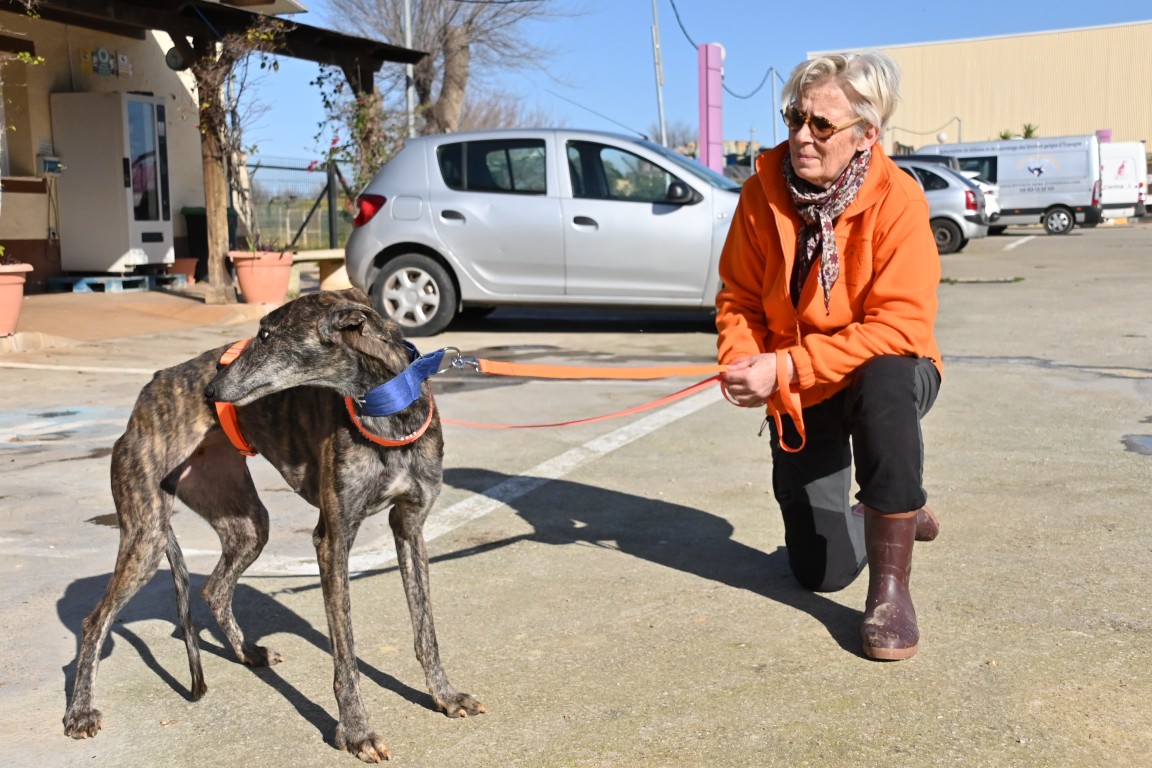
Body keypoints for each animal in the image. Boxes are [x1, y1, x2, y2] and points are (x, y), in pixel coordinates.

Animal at [63, 288, 483, 762]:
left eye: (265, 335)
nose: (210, 390)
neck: (388, 411)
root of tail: (150, 388)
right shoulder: (333, 539)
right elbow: (346, 654)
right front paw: (356, 730)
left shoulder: (410, 526)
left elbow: (425, 630)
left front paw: (444, 696)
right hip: (147, 533)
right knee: (94, 622)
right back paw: (80, 711)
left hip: (247, 523)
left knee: (214, 588)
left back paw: (248, 654)